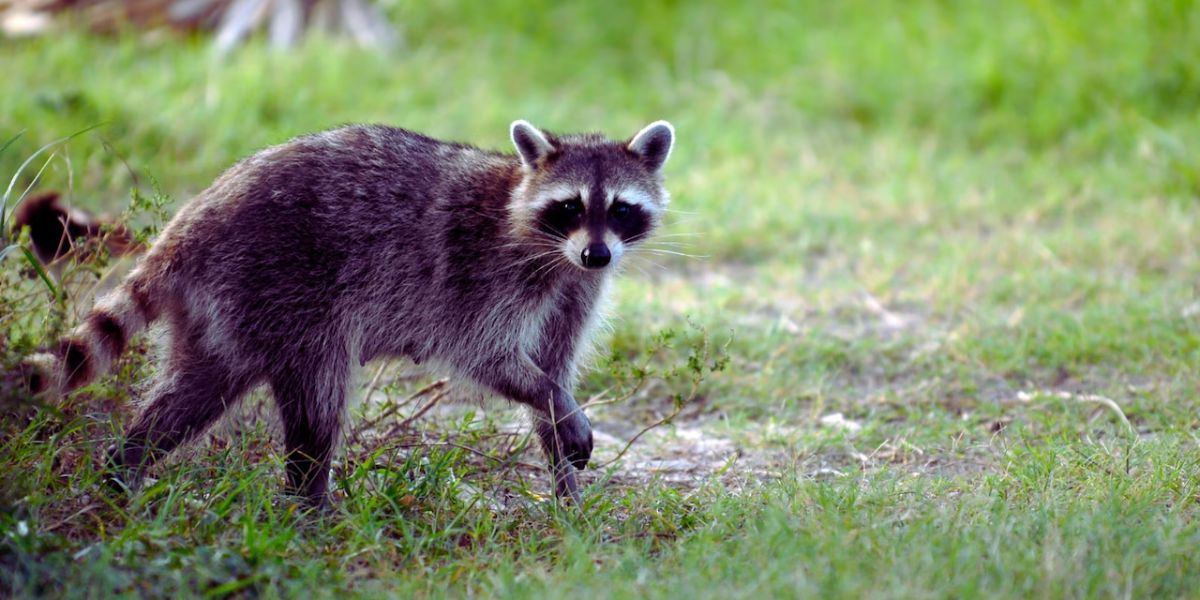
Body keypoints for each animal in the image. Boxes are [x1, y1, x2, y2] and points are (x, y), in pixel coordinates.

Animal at [23, 119, 676, 505]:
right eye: (570, 207)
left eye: (620, 209)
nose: (597, 253)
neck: (551, 247)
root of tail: (193, 220)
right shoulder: (482, 275)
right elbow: (488, 357)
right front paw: (557, 407)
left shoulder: (573, 292)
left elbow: (551, 367)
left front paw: (567, 485)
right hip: (285, 286)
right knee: (319, 401)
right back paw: (310, 503)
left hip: (226, 309)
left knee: (194, 391)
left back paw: (122, 469)